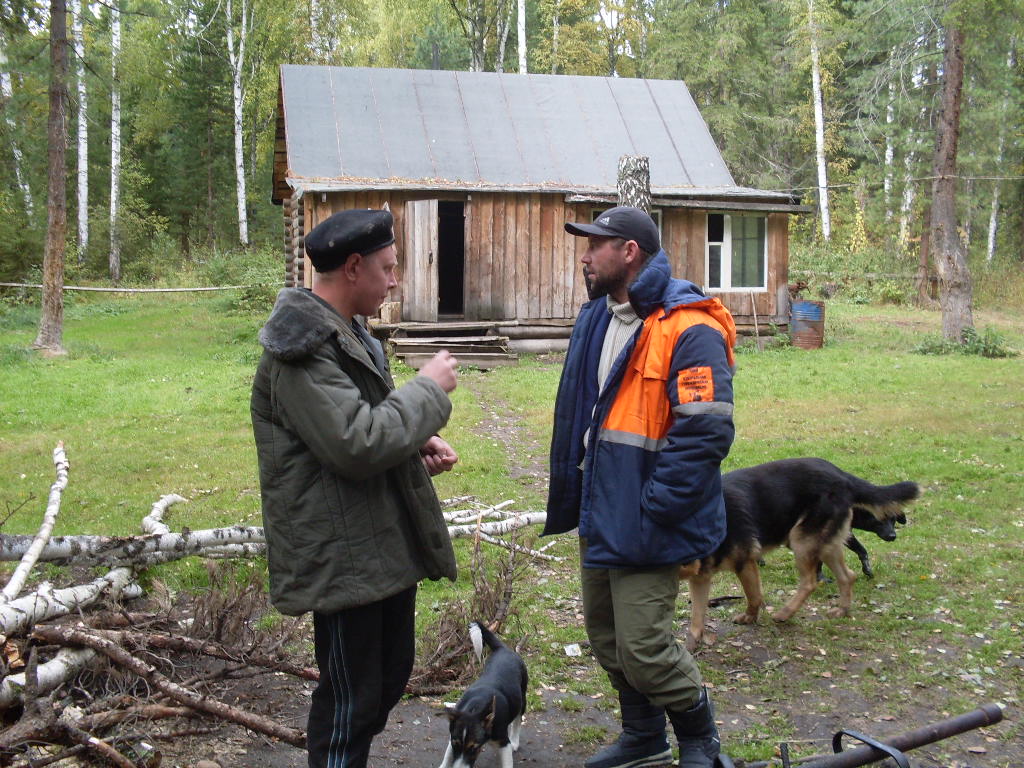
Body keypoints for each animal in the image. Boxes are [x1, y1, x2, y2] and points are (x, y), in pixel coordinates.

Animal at [684, 460, 917, 651]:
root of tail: (842, 475)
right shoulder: (700, 578)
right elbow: (697, 613)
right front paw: (693, 641)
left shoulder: (746, 562)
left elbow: (754, 596)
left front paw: (750, 617)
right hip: (824, 543)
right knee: (847, 576)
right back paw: (841, 611)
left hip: (801, 540)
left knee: (809, 583)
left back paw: (785, 613)